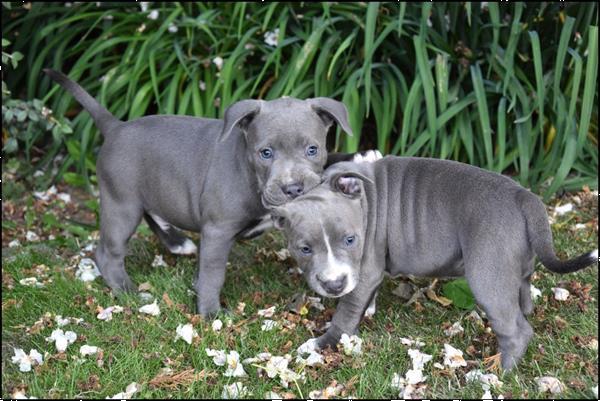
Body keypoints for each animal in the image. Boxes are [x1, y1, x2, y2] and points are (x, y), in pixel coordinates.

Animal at [47, 70, 358, 318]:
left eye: (312, 149)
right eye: (266, 153)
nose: (293, 188)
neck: (250, 173)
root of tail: (115, 127)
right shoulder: (218, 232)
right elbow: (212, 275)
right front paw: (210, 314)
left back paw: (177, 243)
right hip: (121, 203)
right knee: (108, 253)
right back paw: (129, 292)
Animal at [274, 155, 596, 368]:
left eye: (350, 240)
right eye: (304, 249)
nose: (334, 284)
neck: (364, 199)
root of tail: (523, 196)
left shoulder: (364, 269)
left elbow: (347, 309)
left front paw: (323, 342)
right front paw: (369, 309)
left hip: (487, 277)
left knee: (516, 331)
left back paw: (497, 373)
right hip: (519, 268)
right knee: (524, 299)